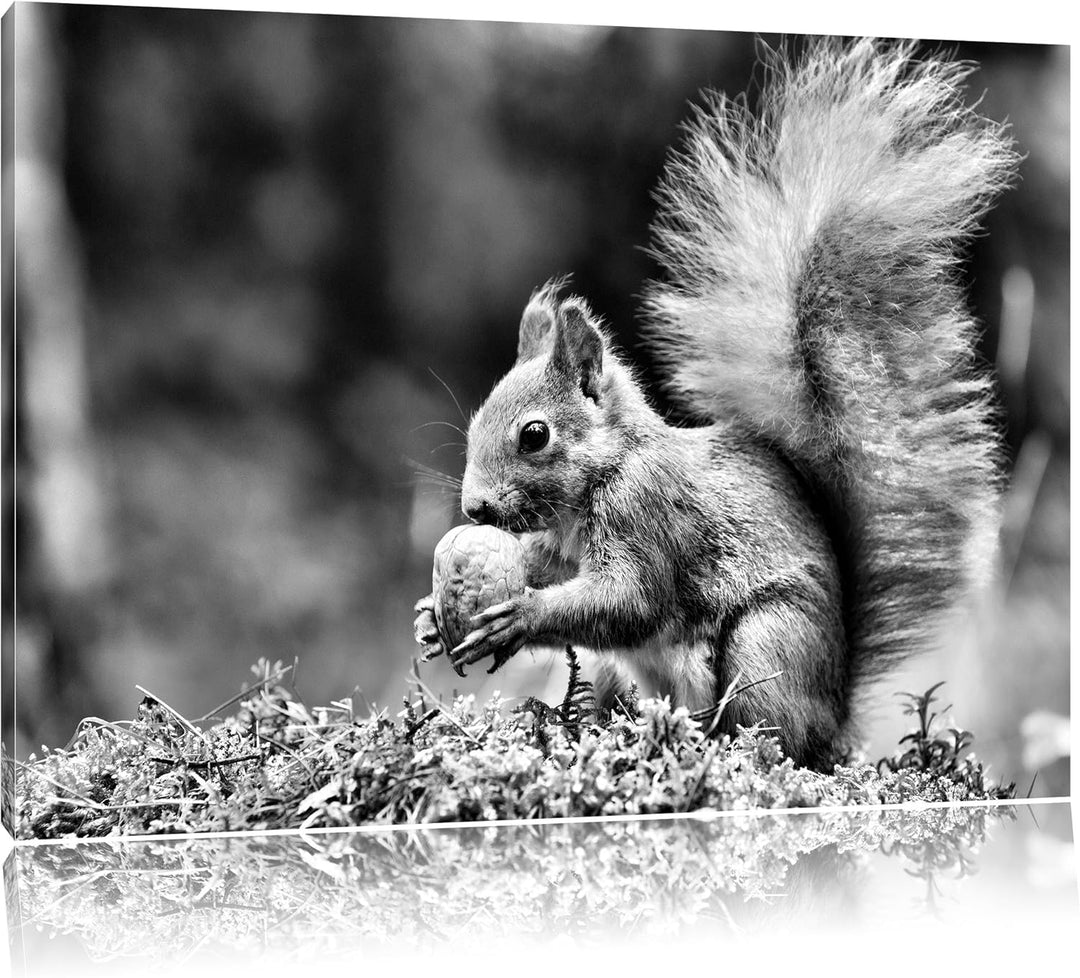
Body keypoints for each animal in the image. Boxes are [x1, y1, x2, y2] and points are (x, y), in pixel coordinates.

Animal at [413, 37, 1019, 771]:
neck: (608, 472)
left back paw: (724, 748)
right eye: (477, 420)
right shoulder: (561, 549)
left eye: (535, 435)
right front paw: (430, 615)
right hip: (630, 674)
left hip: (768, 644)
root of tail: (834, 715)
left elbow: (630, 602)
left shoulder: (648, 515)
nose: (474, 507)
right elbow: (550, 571)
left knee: (770, 733)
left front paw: (519, 617)